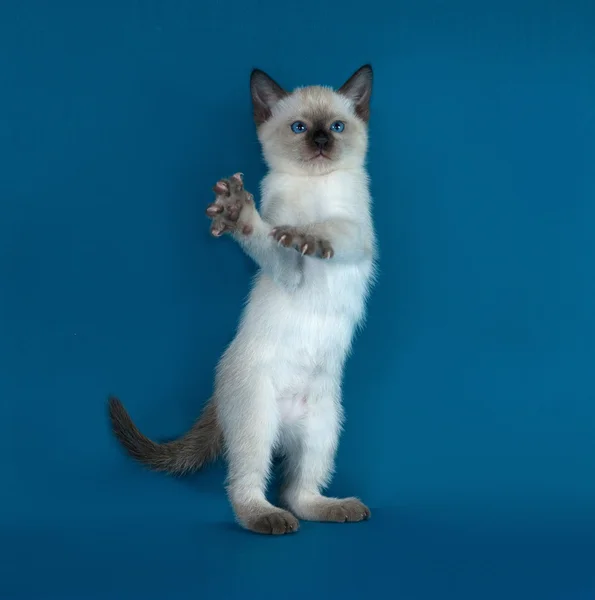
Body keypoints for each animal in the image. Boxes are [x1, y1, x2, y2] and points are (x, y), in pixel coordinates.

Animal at [109, 65, 378, 536]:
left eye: (337, 127)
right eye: (299, 128)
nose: (320, 143)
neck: (315, 187)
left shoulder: (356, 236)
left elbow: (329, 229)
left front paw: (311, 236)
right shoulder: (288, 273)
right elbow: (273, 238)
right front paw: (238, 212)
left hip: (324, 428)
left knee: (298, 491)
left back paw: (336, 508)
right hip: (257, 421)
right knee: (249, 487)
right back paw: (267, 518)